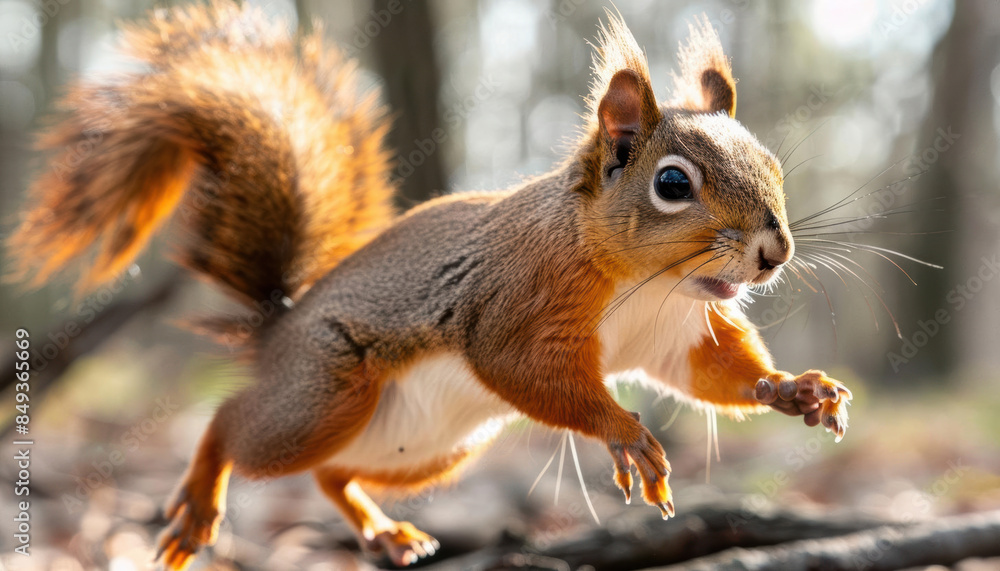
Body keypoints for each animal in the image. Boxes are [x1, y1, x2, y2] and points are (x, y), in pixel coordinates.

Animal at [9, 2, 853, 568]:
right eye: (673, 184)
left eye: (769, 160)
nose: (774, 250)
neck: (652, 285)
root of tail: (278, 329)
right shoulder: (515, 304)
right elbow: (527, 369)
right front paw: (623, 431)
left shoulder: (676, 335)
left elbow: (715, 373)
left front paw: (796, 389)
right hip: (324, 395)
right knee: (234, 424)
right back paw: (197, 504)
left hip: (432, 450)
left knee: (333, 472)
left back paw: (384, 529)